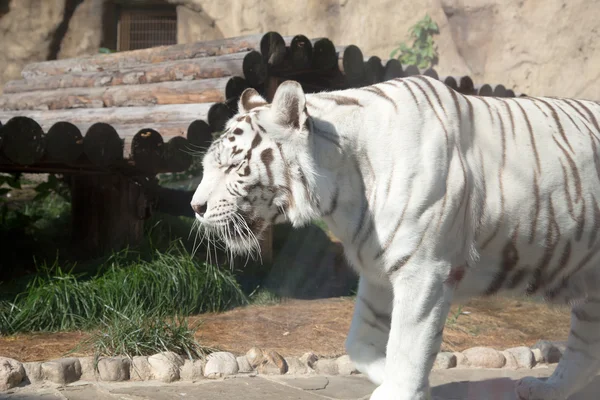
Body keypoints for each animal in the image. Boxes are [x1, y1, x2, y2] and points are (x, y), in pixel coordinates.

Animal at [190, 76, 600, 400]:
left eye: (232, 166)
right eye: (207, 165)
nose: (195, 207)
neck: (343, 193)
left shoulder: (425, 270)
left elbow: (408, 342)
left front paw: (403, 390)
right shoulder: (378, 269)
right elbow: (360, 343)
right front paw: (417, 385)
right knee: (585, 348)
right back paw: (546, 389)